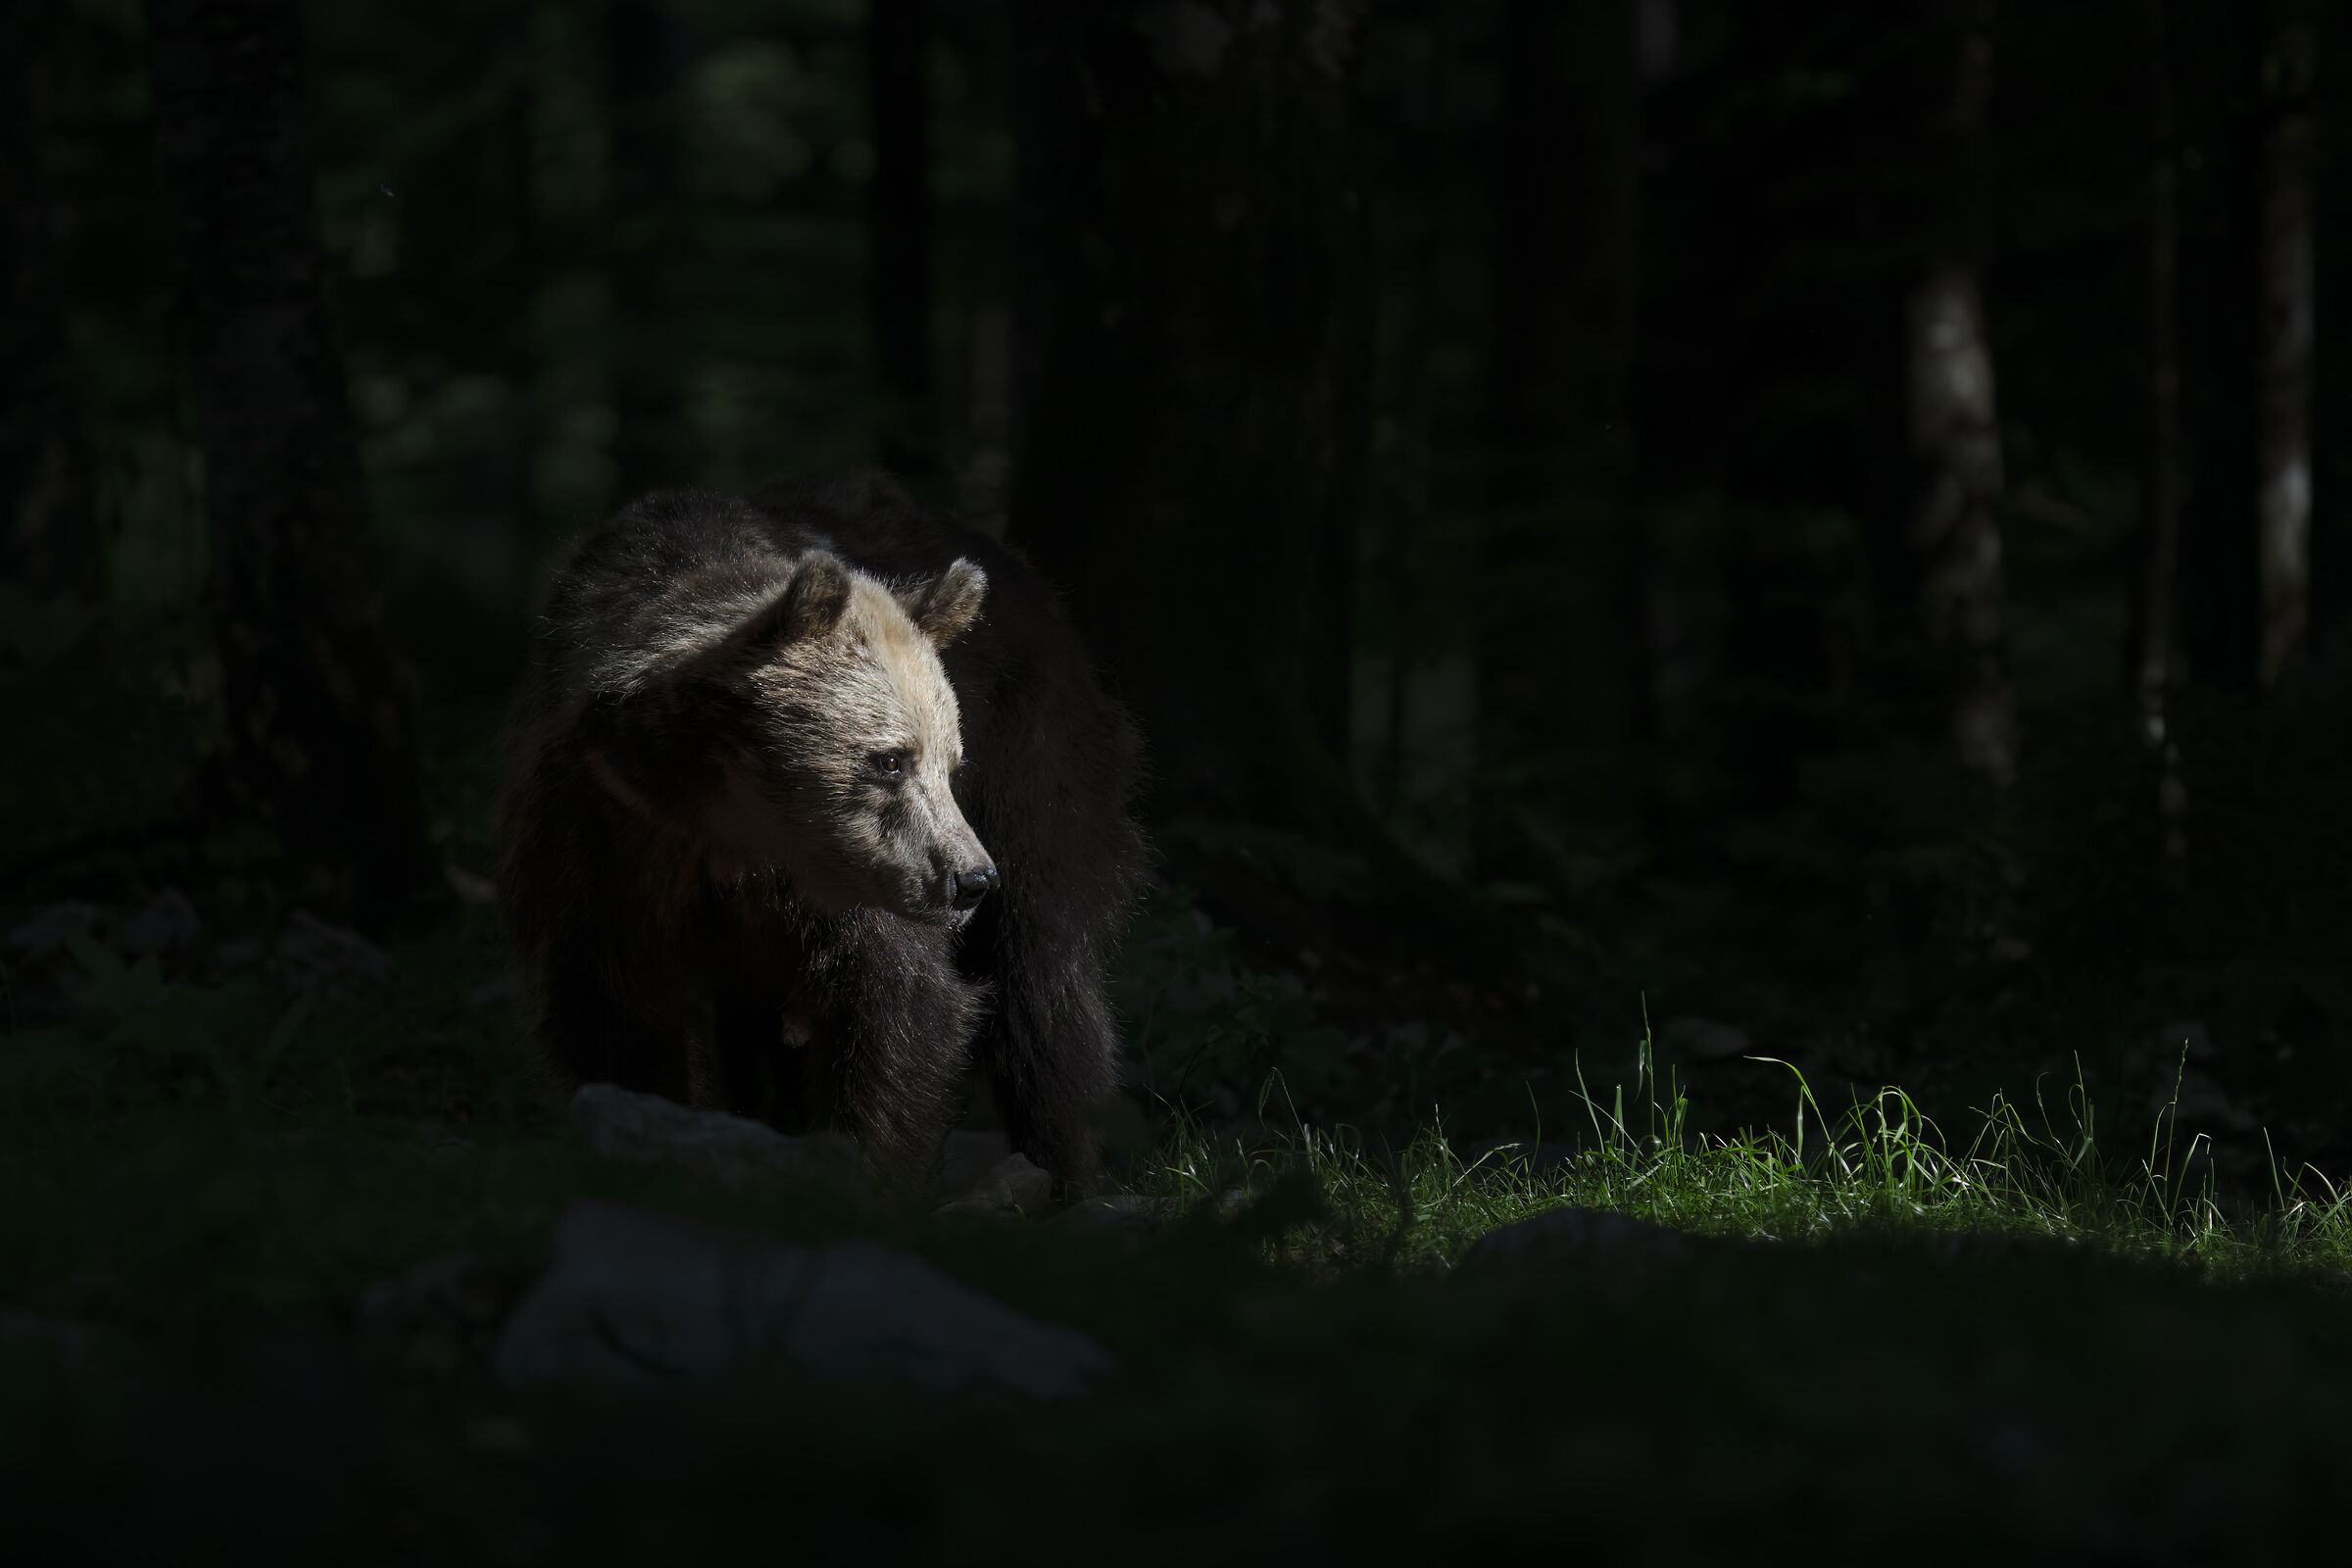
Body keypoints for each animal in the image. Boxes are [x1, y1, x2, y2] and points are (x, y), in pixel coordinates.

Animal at [497, 477, 1145, 1193]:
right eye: (891, 760)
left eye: (951, 764)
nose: (970, 878)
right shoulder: (597, 836)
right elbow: (612, 1015)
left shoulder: (847, 882)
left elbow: (894, 1010)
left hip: (1038, 760)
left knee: (1045, 980)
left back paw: (1063, 1171)